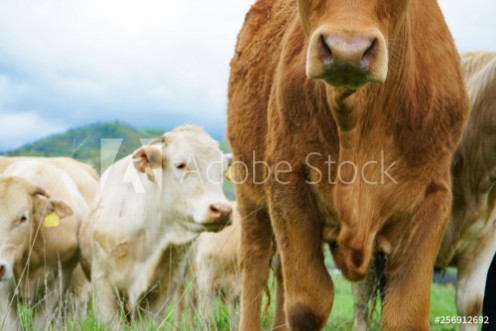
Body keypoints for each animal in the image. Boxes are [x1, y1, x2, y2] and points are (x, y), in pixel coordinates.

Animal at [229, 0, 468, 331]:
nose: (347, 52)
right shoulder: (286, 182)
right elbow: (308, 304)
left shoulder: (434, 195)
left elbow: (405, 315)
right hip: (249, 191)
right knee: (255, 263)